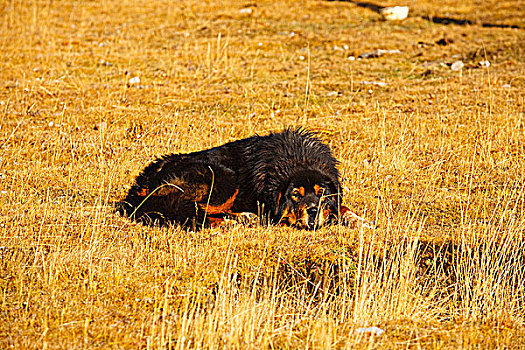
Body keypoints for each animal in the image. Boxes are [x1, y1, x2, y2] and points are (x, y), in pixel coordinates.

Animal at [118, 129, 370, 230]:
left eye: (322, 194)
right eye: (295, 195)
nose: (313, 211)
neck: (297, 159)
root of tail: (141, 185)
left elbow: (343, 207)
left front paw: (358, 220)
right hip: (223, 177)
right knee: (194, 210)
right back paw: (236, 220)